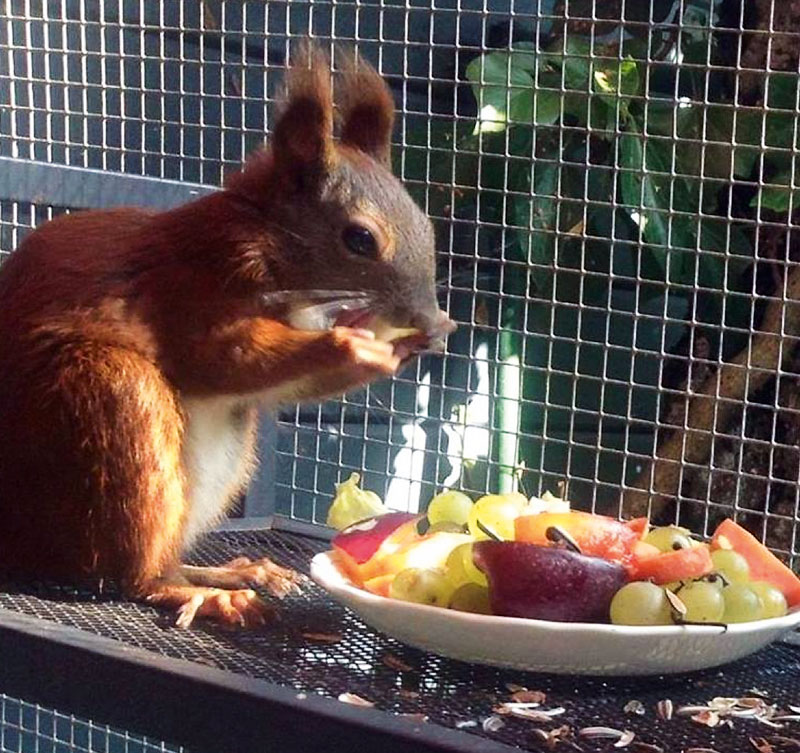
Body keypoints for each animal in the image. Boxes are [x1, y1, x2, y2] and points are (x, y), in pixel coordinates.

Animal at [0, 44, 456, 624]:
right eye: (360, 239)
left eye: (427, 225)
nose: (433, 321)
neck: (260, 245)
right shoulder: (187, 296)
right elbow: (224, 360)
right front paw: (356, 348)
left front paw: (405, 344)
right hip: (111, 399)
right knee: (136, 575)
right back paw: (200, 593)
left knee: (169, 557)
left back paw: (232, 573)